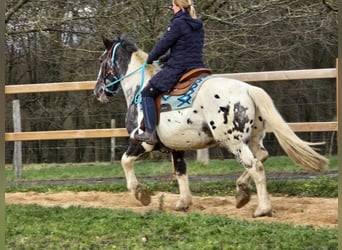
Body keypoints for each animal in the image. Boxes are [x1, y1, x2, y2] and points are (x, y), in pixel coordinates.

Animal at [93, 34, 328, 217]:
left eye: (102, 60)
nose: (98, 91)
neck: (139, 88)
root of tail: (248, 89)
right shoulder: (177, 148)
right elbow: (181, 172)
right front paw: (183, 203)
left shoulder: (142, 142)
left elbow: (125, 161)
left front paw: (141, 194)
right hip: (252, 139)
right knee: (262, 156)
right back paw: (242, 192)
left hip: (234, 143)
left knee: (256, 167)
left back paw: (262, 209)